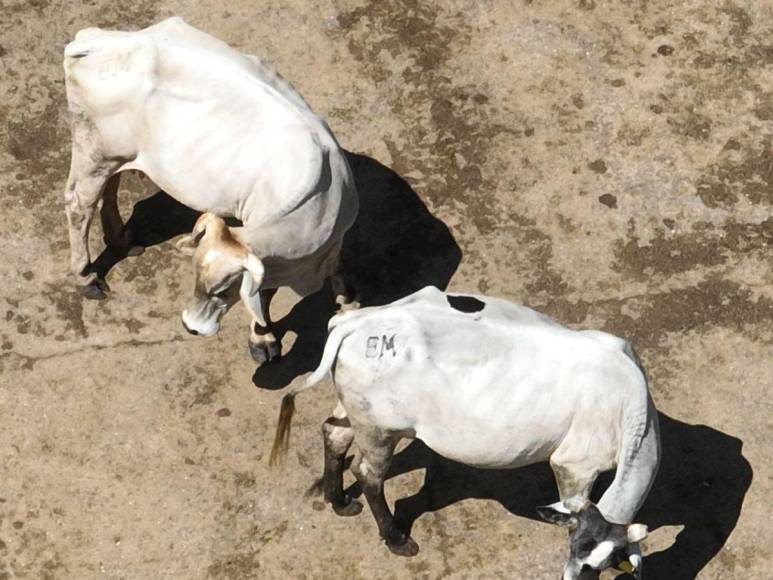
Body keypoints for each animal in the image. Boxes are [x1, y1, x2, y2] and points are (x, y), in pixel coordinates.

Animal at [61, 18, 358, 360]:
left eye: (223, 290)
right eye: (196, 279)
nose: (189, 326)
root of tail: (95, 40)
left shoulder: (331, 243)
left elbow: (336, 271)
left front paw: (348, 302)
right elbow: (264, 294)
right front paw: (263, 339)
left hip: (115, 155)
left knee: (109, 189)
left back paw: (122, 240)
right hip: (94, 153)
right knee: (80, 205)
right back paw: (86, 276)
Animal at [270, 286, 656, 580]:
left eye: (600, 566)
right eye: (579, 555)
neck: (631, 407)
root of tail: (357, 321)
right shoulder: (575, 465)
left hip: (357, 413)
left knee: (334, 435)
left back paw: (338, 500)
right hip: (382, 429)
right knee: (367, 473)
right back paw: (395, 538)